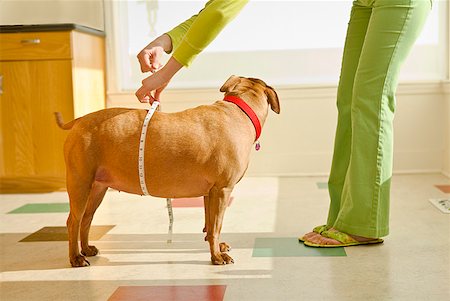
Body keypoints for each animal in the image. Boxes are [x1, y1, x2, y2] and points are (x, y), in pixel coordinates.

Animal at [55, 75, 280, 268]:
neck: (239, 111)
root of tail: (79, 120)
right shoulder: (222, 190)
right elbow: (216, 226)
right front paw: (217, 256)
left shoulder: (211, 193)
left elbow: (210, 224)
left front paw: (215, 245)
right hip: (80, 184)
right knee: (73, 221)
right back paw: (75, 257)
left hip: (97, 189)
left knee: (86, 219)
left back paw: (85, 249)